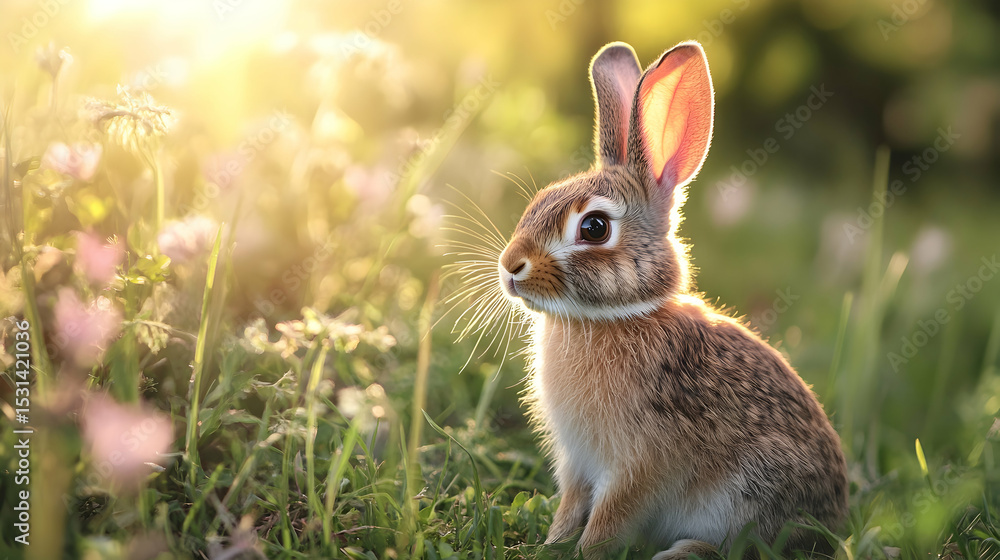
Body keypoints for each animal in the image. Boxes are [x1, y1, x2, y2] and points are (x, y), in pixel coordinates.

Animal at [495, 41, 848, 559]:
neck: (613, 318)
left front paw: (583, 552)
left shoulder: (639, 466)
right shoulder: (577, 464)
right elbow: (571, 507)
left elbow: (610, 519)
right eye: (539, 199)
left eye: (594, 228)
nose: (510, 267)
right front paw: (551, 544)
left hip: (748, 495)